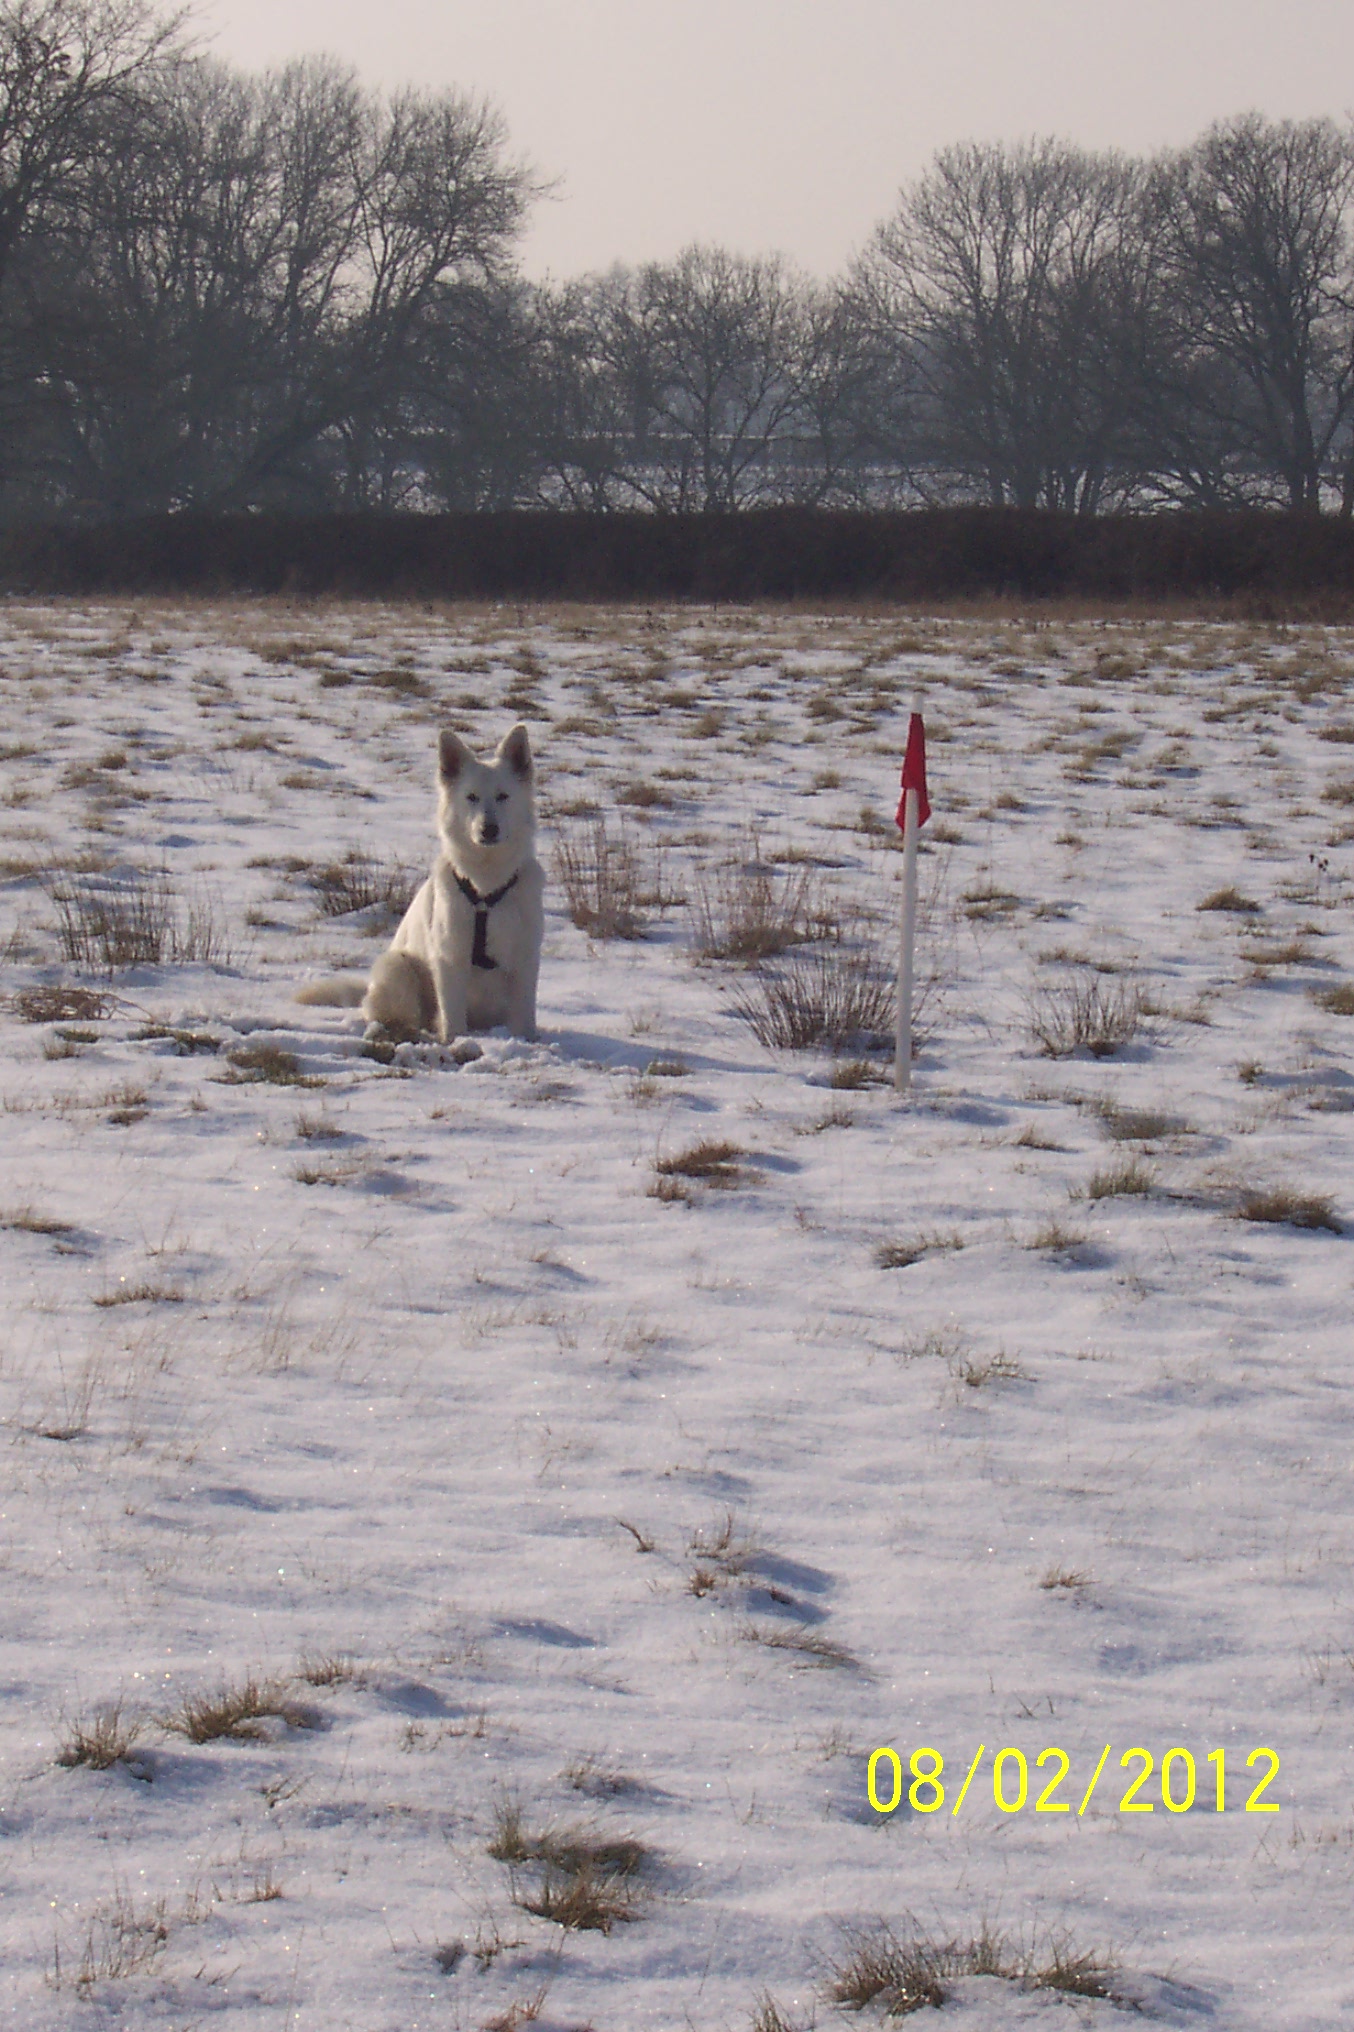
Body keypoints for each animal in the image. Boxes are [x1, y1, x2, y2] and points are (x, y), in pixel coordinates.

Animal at [300, 727, 544, 1048]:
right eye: (471, 797)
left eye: (503, 796)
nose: (488, 829)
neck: (486, 885)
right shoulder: (450, 957)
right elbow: (453, 1019)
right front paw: (456, 1043)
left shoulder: (525, 959)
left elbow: (524, 1019)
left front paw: (525, 1043)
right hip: (399, 967)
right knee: (402, 1018)